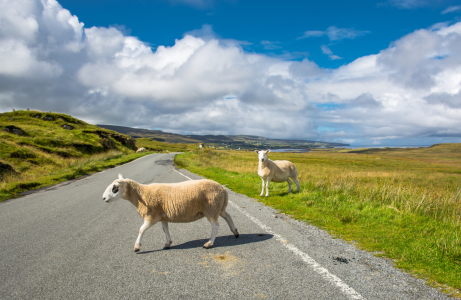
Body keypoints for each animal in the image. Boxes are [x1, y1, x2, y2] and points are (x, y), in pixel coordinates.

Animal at [100, 173, 237, 251]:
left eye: (115, 188)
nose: (104, 198)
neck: (141, 195)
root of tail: (223, 189)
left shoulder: (151, 216)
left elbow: (141, 230)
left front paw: (137, 247)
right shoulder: (163, 216)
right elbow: (165, 230)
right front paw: (168, 243)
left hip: (211, 209)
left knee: (215, 225)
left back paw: (209, 243)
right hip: (218, 207)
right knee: (228, 216)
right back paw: (235, 232)